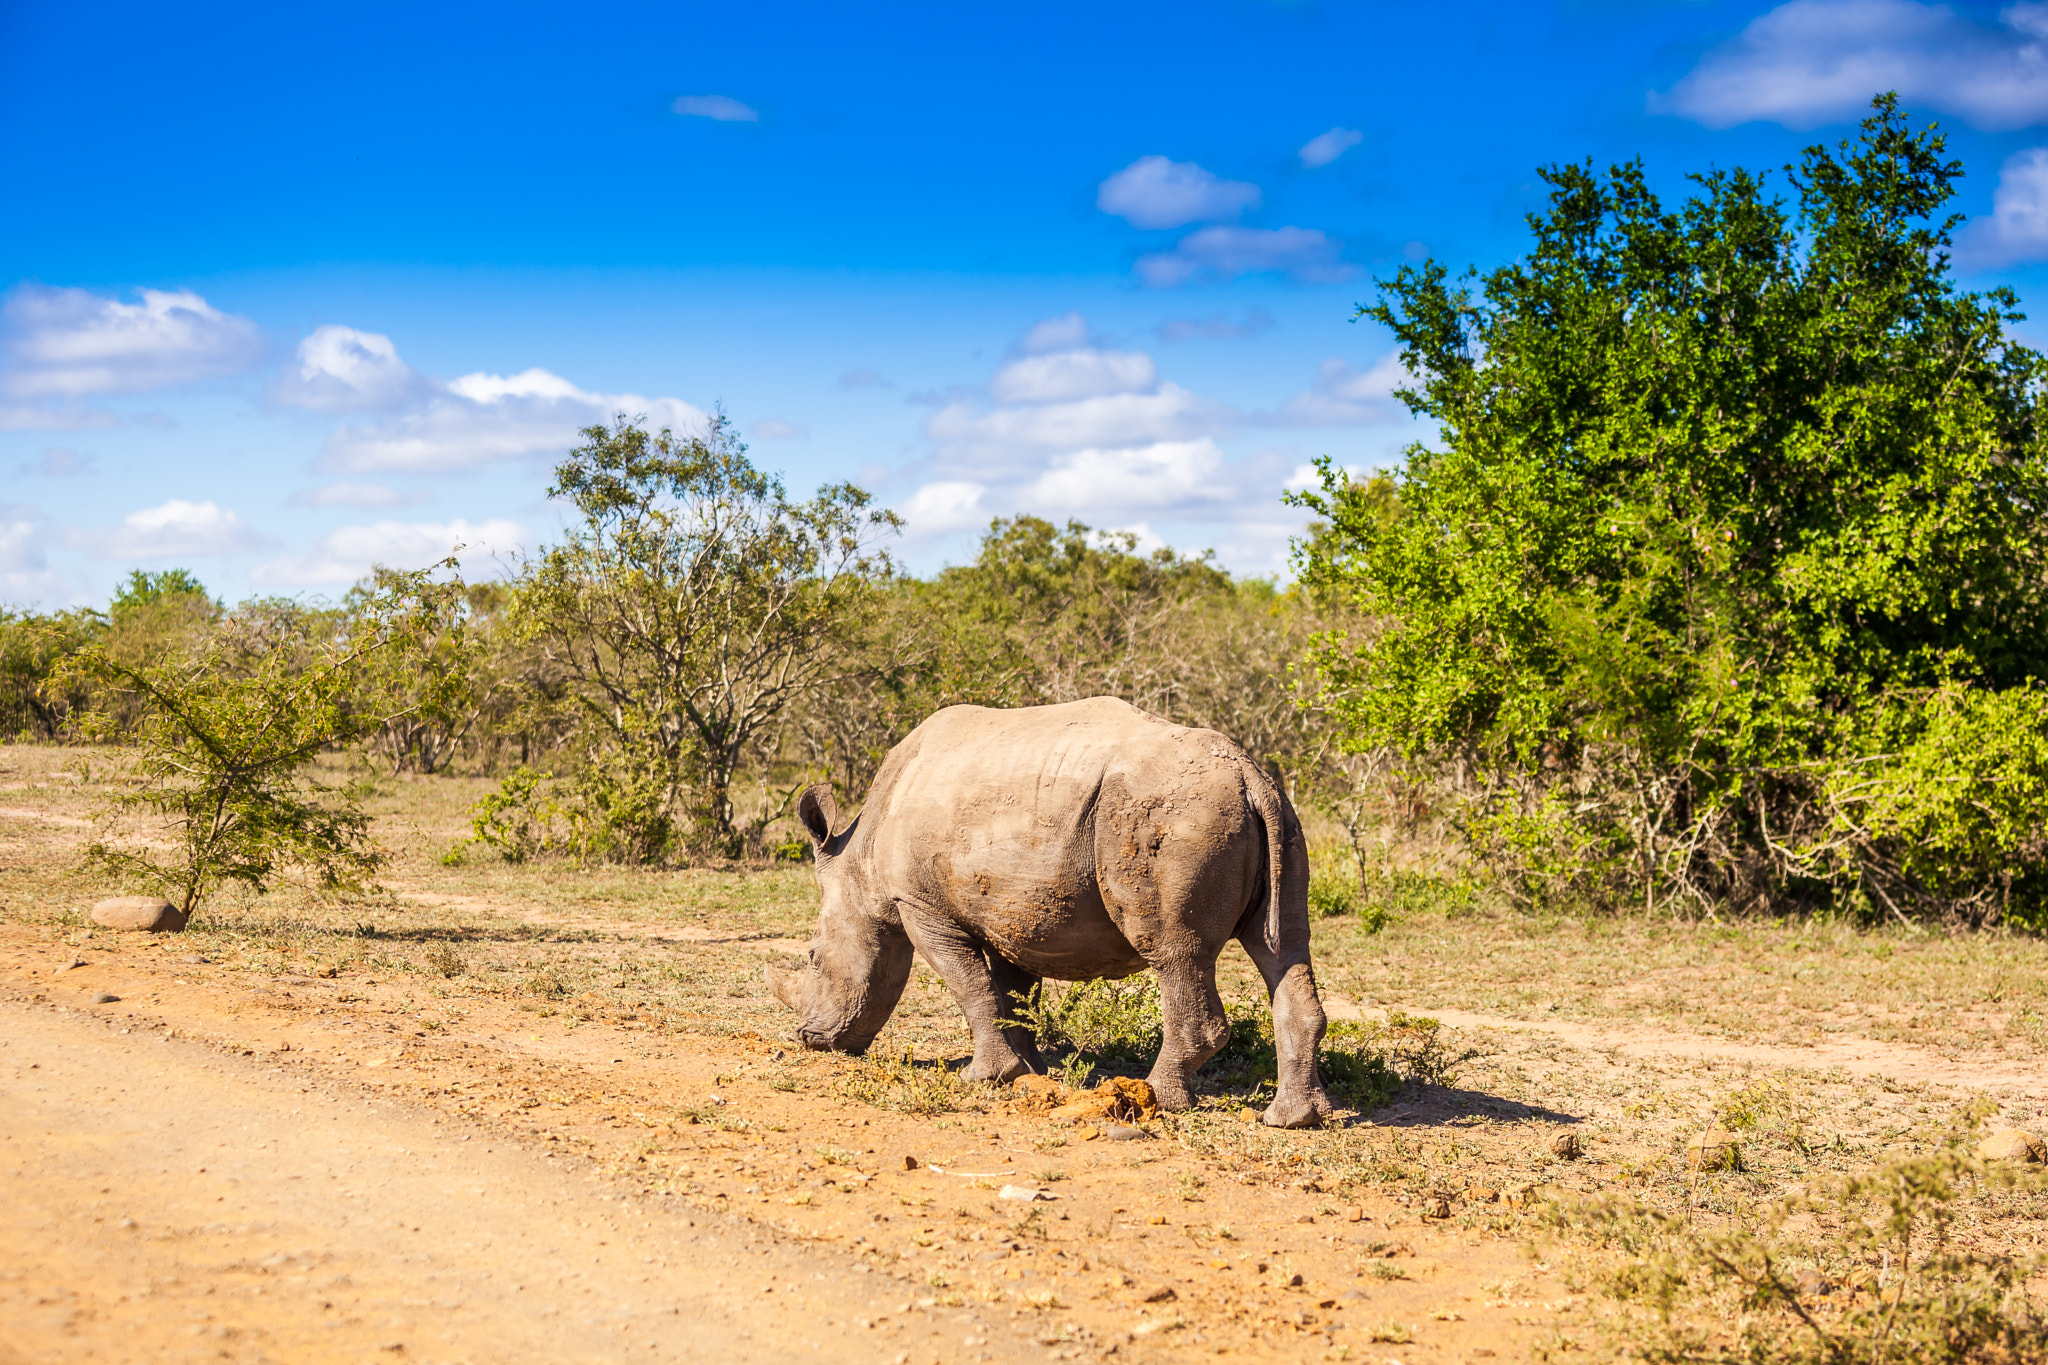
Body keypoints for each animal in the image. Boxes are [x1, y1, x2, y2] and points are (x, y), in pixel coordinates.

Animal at [765, 697, 1333, 1128]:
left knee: (1175, 954)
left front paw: (982, 1078)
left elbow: (968, 984)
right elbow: (1012, 993)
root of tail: (1247, 772)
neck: (859, 862)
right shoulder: (1008, 906)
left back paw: (1153, 1100)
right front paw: (1030, 1072)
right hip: (1278, 815)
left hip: (1175, 816)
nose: (808, 1039)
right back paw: (1292, 1119)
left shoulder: (920, 905)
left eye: (813, 957)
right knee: (1283, 948)